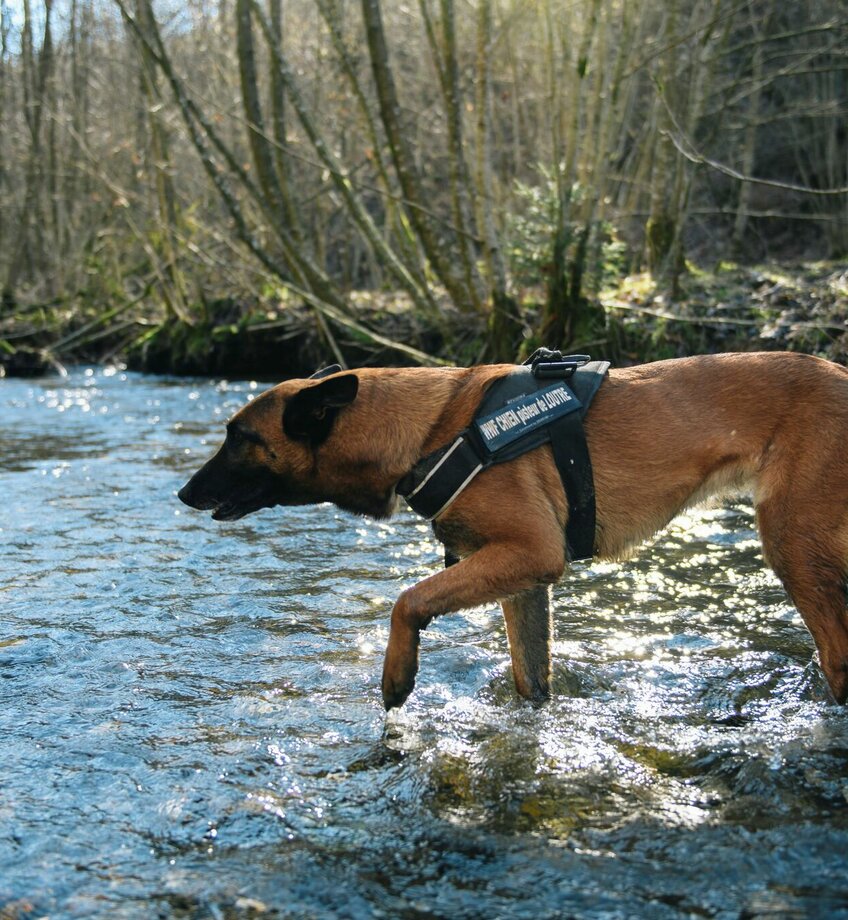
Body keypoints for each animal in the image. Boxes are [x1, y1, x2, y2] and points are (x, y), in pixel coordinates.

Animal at [177, 354, 848, 712]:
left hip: (792, 542)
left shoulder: (529, 552)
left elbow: (407, 600)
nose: (183, 494)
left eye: (239, 438)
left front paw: (398, 676)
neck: (432, 430)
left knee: (837, 656)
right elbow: (531, 677)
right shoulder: (523, 582)